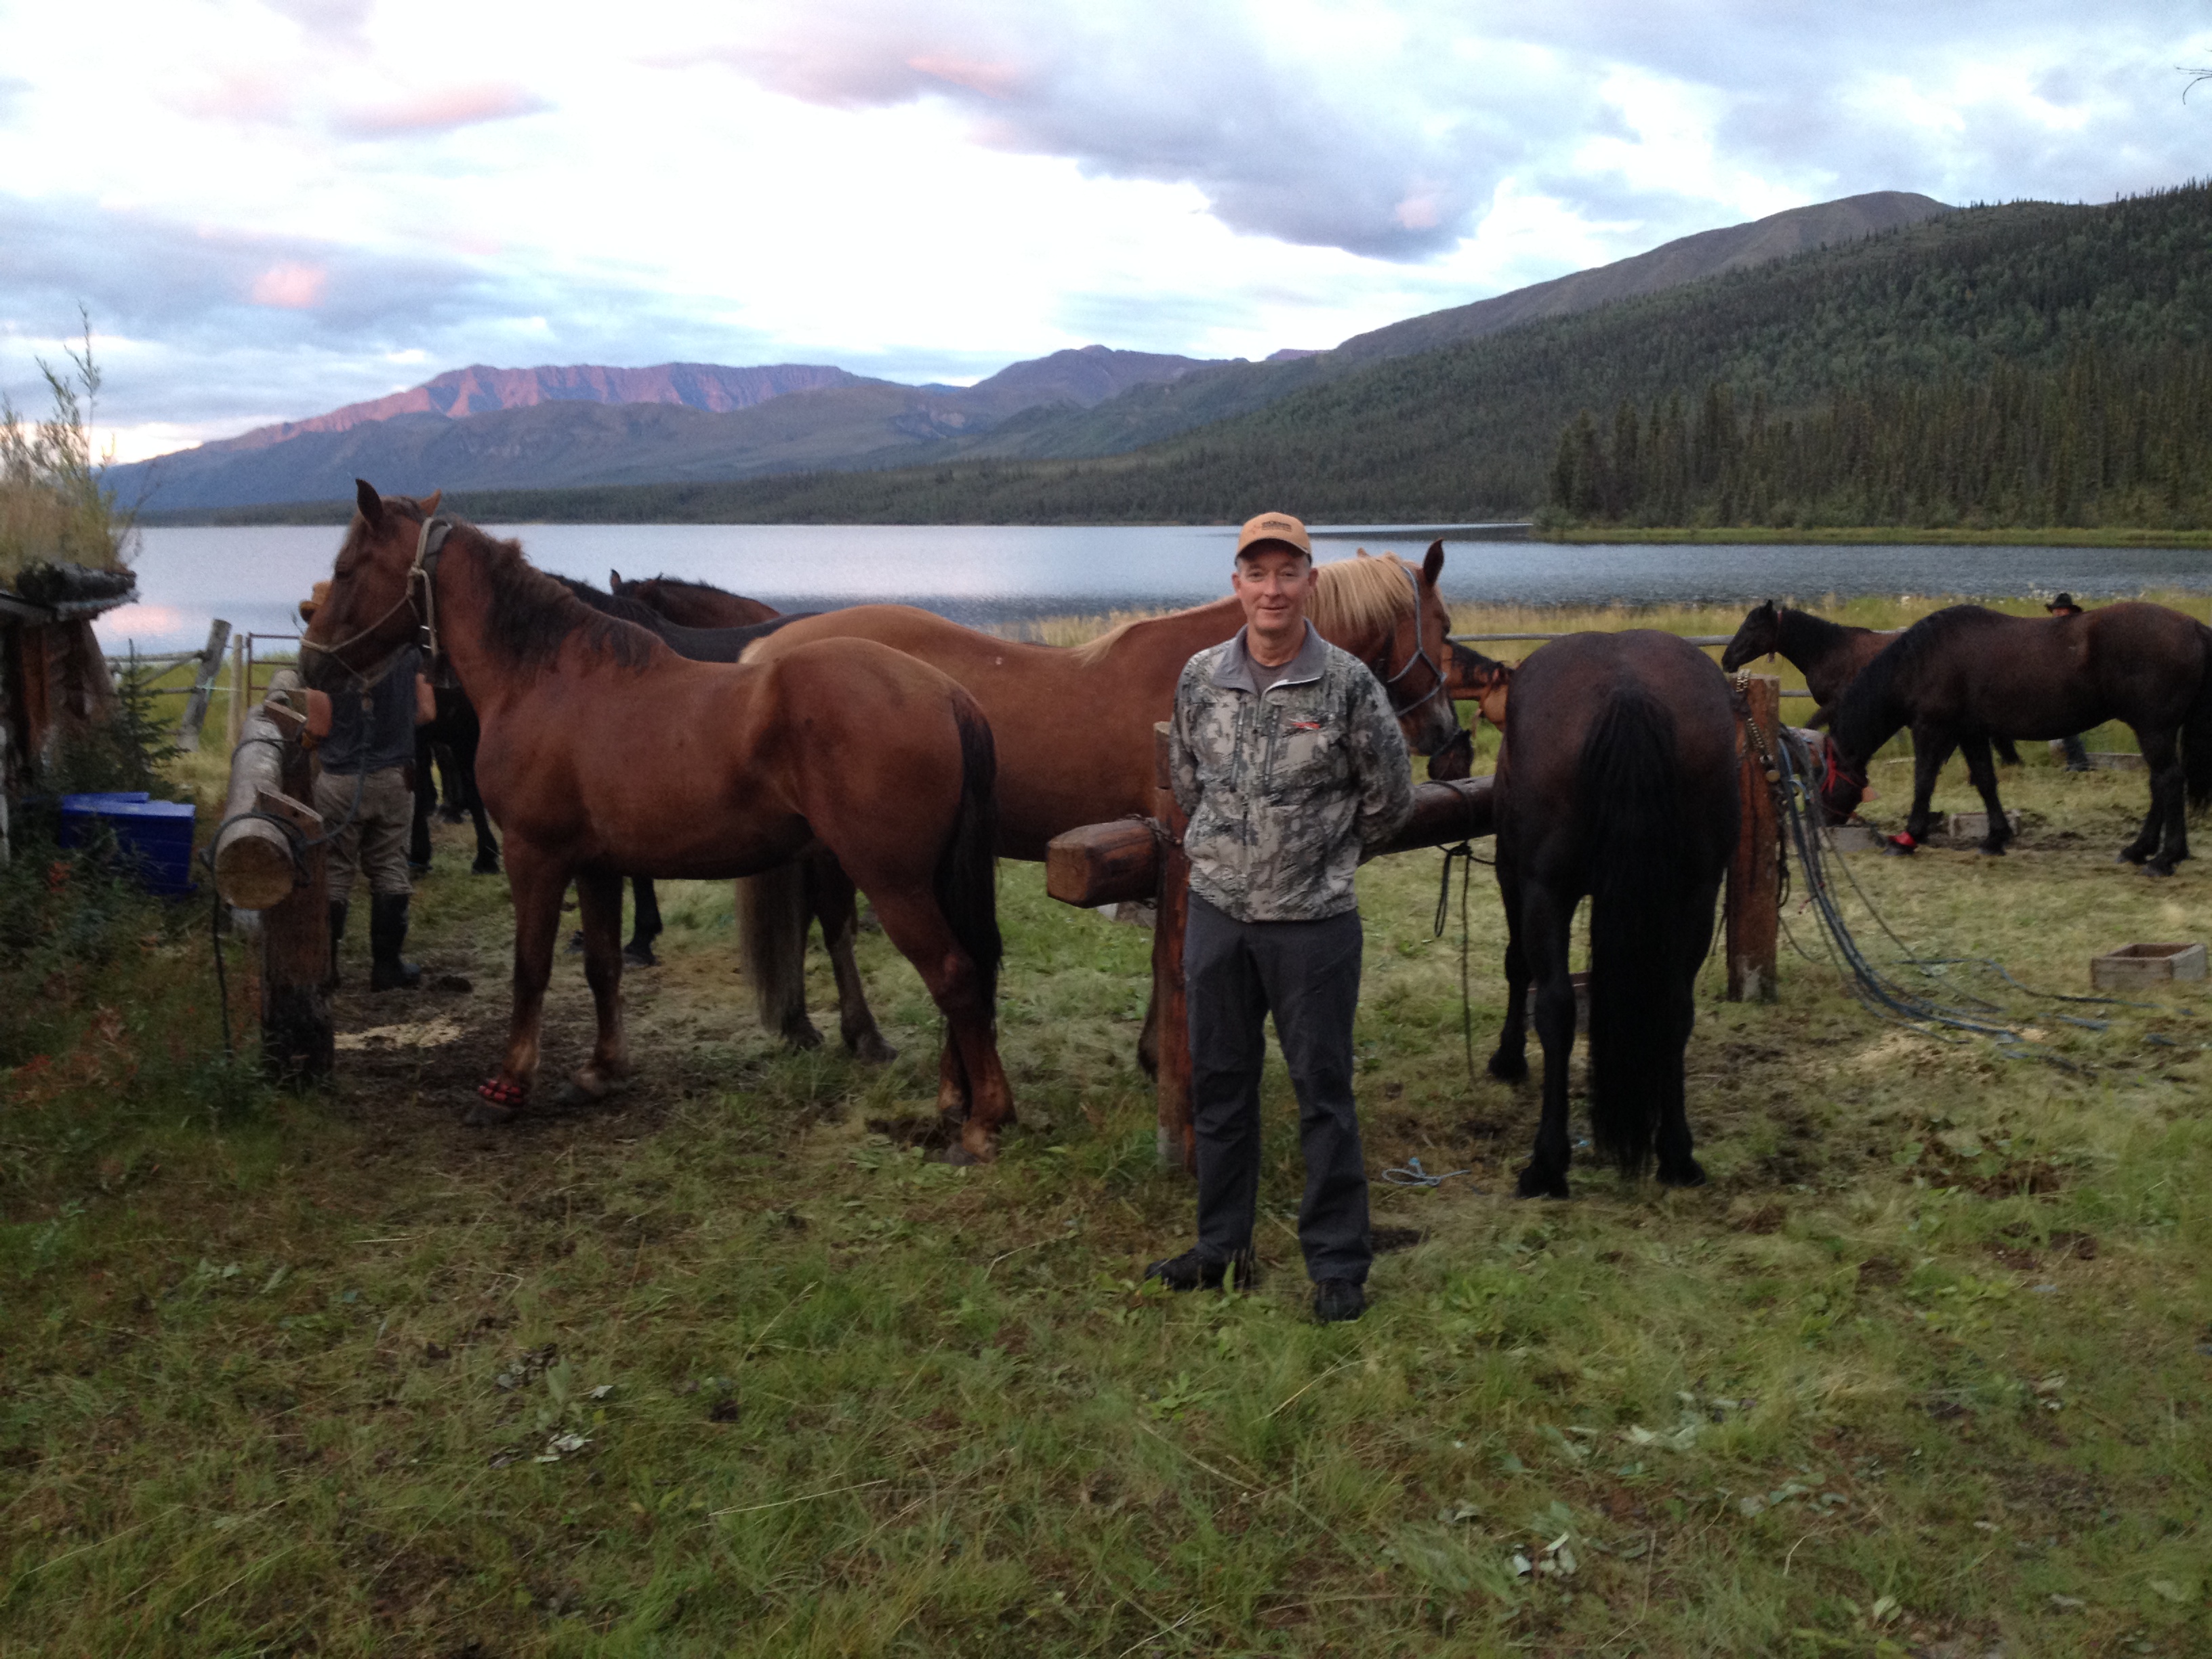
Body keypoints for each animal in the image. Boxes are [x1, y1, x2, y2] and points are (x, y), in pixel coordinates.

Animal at [300, 480, 1012, 1159]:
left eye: (344, 570)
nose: (312, 664)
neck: (544, 677)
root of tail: (946, 693)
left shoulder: (535, 855)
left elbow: (530, 970)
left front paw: (507, 1086)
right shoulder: (594, 865)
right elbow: (602, 966)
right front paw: (600, 1071)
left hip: (895, 883)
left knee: (954, 975)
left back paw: (983, 1123)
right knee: (971, 972)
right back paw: (959, 1101)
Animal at [637, 548, 1469, 1066]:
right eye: (1448, 627)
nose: (1445, 736)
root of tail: (773, 656)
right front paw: (1156, 1054)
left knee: (829, 922)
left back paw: (823, 1029)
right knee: (835, 925)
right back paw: (860, 1036)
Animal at [1486, 632, 1743, 1194]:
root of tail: (1628, 690)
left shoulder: (1514, 875)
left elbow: (1516, 966)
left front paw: (1509, 1058)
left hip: (1546, 891)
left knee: (1555, 1007)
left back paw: (1546, 1164)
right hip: (1698, 890)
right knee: (1676, 1005)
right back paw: (1677, 1155)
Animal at [1814, 606, 2212, 876]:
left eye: (1822, 774)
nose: (1824, 820)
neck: (1922, 659)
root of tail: (2194, 627)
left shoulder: (1932, 728)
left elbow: (1923, 782)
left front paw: (1907, 839)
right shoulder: (1971, 732)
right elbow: (1985, 781)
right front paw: (1995, 839)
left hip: (2153, 729)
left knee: (2168, 781)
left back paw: (2164, 859)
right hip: (2156, 730)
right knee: (2160, 784)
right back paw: (2138, 850)